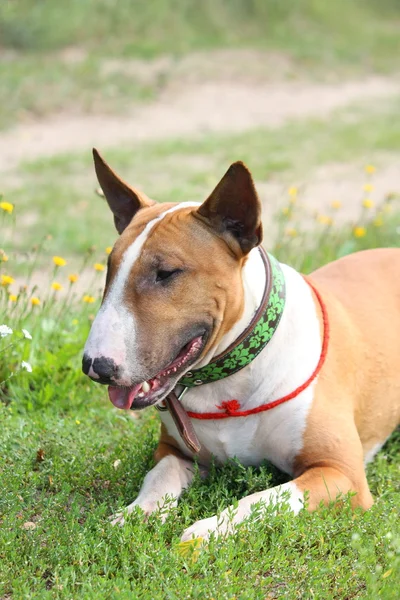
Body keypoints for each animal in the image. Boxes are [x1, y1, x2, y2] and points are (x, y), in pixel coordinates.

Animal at [82, 149, 400, 540]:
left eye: (167, 273)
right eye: (110, 269)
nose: (95, 367)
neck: (229, 383)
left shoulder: (341, 473)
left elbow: (262, 500)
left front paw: (205, 530)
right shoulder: (174, 450)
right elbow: (158, 476)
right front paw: (136, 513)